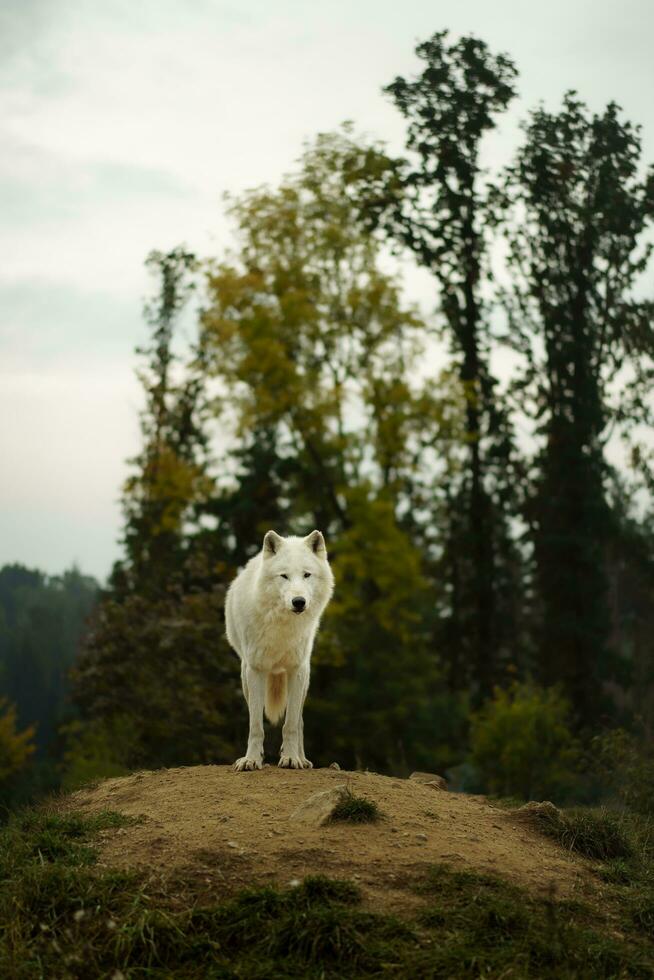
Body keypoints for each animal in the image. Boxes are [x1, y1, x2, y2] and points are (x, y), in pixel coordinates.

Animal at [227, 532, 338, 768]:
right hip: (245, 678)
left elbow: (291, 724)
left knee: (300, 721)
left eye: (306, 575)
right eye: (284, 576)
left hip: (303, 680)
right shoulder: (255, 670)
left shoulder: (297, 670)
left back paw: (303, 759)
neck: (282, 626)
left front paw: (290, 758)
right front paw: (251, 760)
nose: (299, 602)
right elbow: (256, 725)